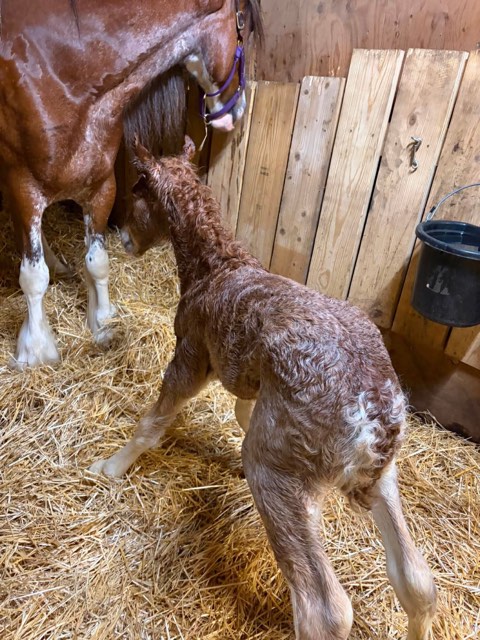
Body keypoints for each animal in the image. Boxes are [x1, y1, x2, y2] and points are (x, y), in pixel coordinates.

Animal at [0, 0, 262, 368]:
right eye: (245, 31)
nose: (237, 111)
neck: (63, 77)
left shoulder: (100, 187)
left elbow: (97, 262)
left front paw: (103, 323)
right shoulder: (24, 188)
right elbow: (33, 278)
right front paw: (36, 351)